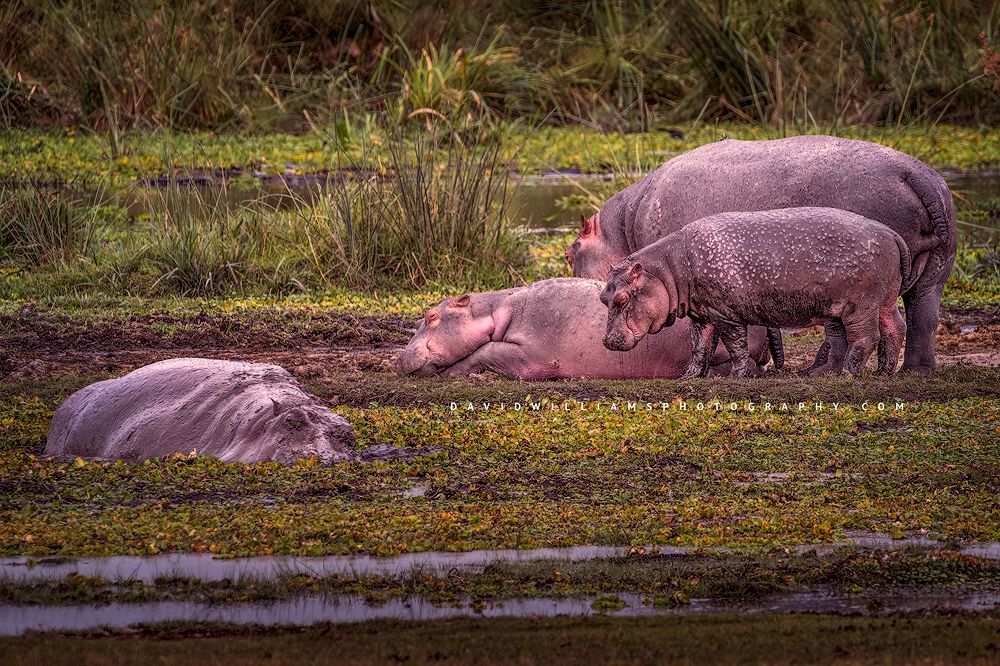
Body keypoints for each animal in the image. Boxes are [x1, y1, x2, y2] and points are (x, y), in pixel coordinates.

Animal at [601, 208, 915, 378]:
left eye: (623, 298)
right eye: (604, 298)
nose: (607, 341)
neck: (670, 267)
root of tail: (891, 233)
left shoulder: (725, 314)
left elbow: (736, 346)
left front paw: (736, 377)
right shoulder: (702, 313)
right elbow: (700, 348)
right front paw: (688, 377)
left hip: (860, 305)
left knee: (866, 337)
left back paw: (851, 372)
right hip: (885, 300)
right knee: (895, 328)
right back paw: (884, 372)